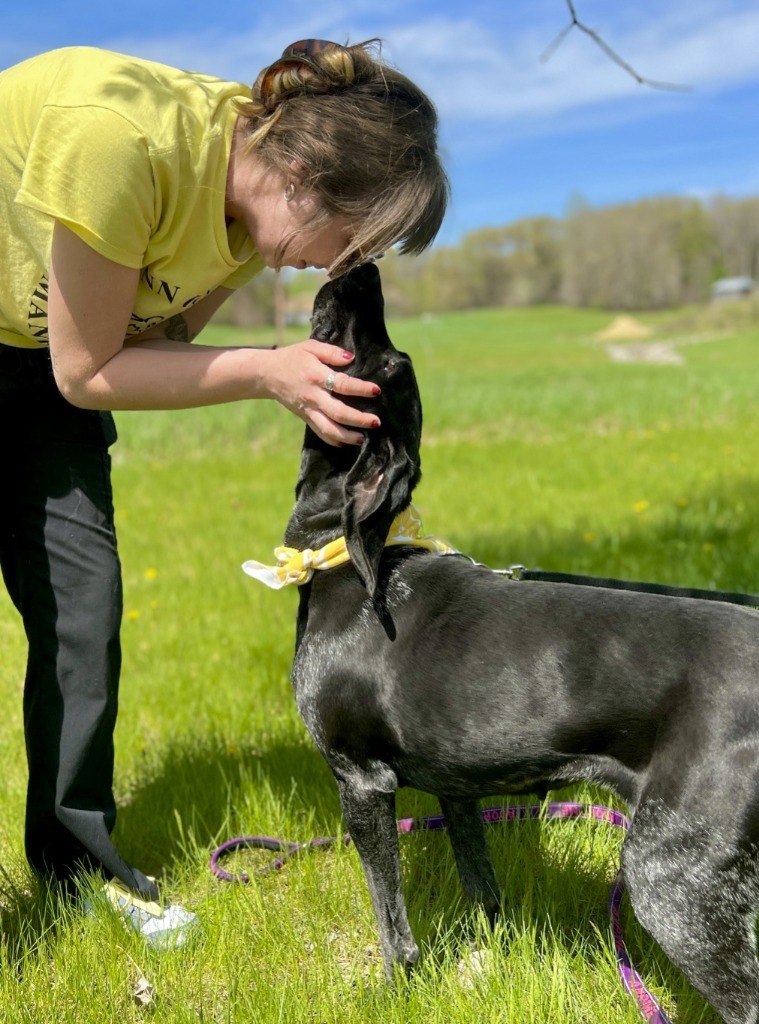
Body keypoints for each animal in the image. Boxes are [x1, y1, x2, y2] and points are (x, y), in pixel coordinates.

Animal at [270, 264, 753, 1024]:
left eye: (383, 361)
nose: (364, 270)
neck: (346, 559)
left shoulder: (361, 781)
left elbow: (392, 925)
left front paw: (394, 990)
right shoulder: (458, 785)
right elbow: (484, 889)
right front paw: (482, 962)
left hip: (672, 878)